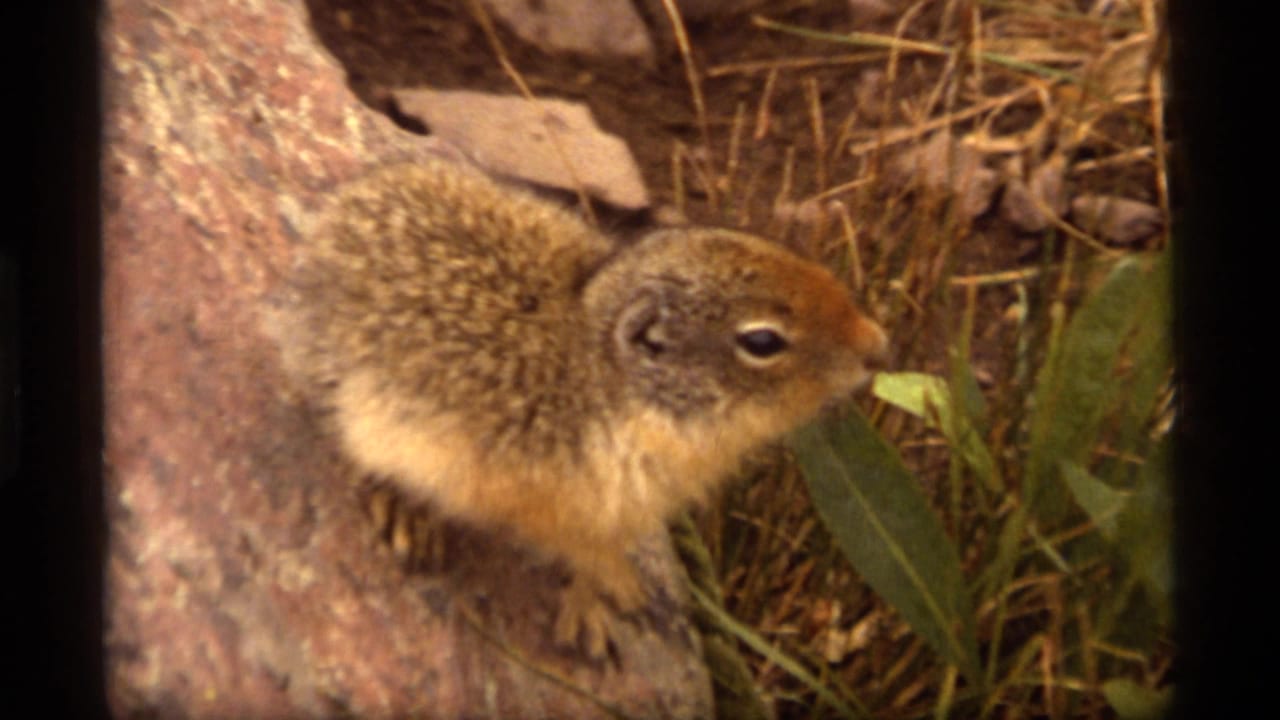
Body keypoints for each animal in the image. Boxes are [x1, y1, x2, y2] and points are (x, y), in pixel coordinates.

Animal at [274, 159, 889, 657]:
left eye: (816, 269)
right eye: (762, 341)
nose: (878, 348)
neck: (610, 383)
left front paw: (614, 593)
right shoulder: (556, 505)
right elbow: (584, 556)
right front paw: (599, 607)